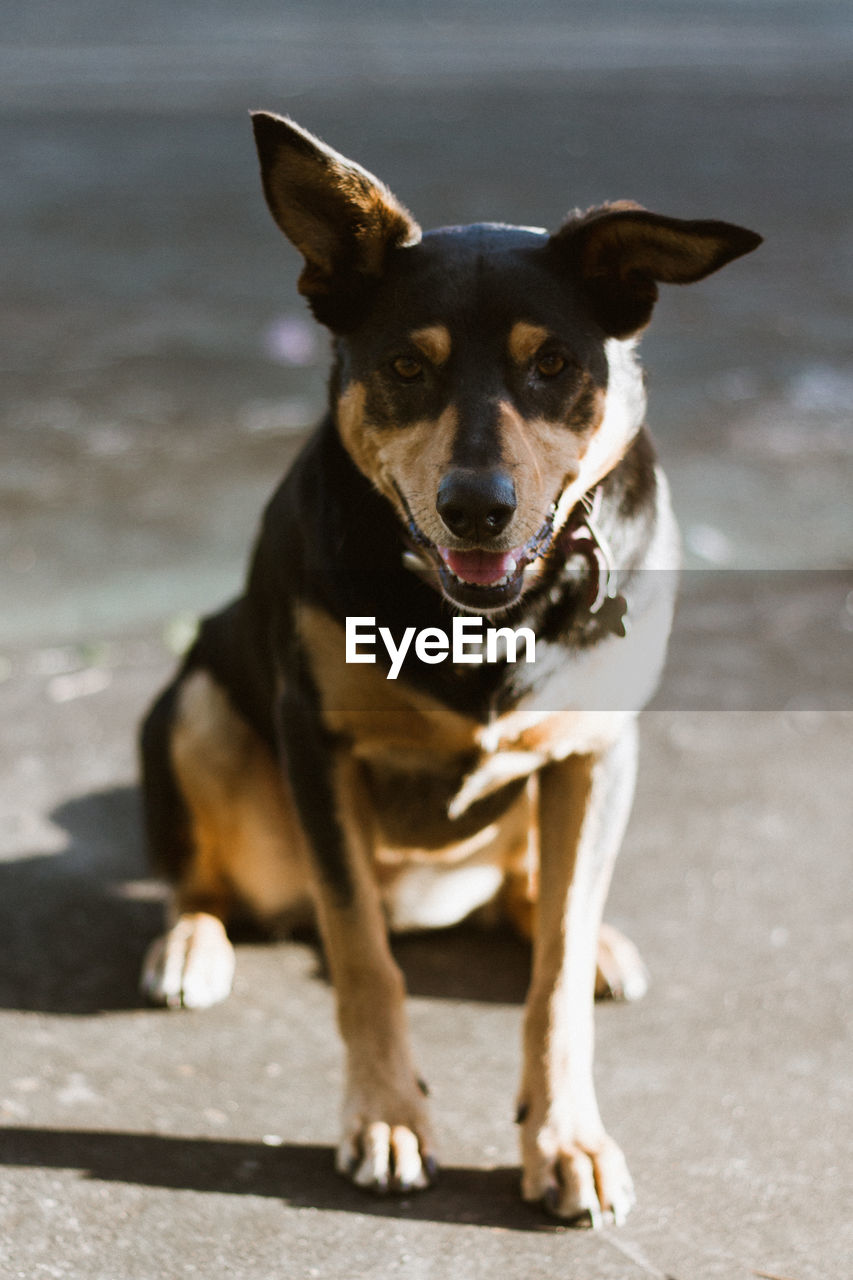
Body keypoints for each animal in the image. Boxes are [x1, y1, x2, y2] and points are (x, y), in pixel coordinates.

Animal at [137, 115, 758, 1223]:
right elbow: (361, 959)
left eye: (551, 362)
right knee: (204, 873)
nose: (477, 507)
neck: (475, 616)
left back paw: (585, 933)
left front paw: (566, 1136)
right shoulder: (316, 742)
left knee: (540, 895)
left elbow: (554, 975)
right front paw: (385, 1117)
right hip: (199, 706)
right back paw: (191, 941)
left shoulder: (597, 753)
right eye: (405, 366)